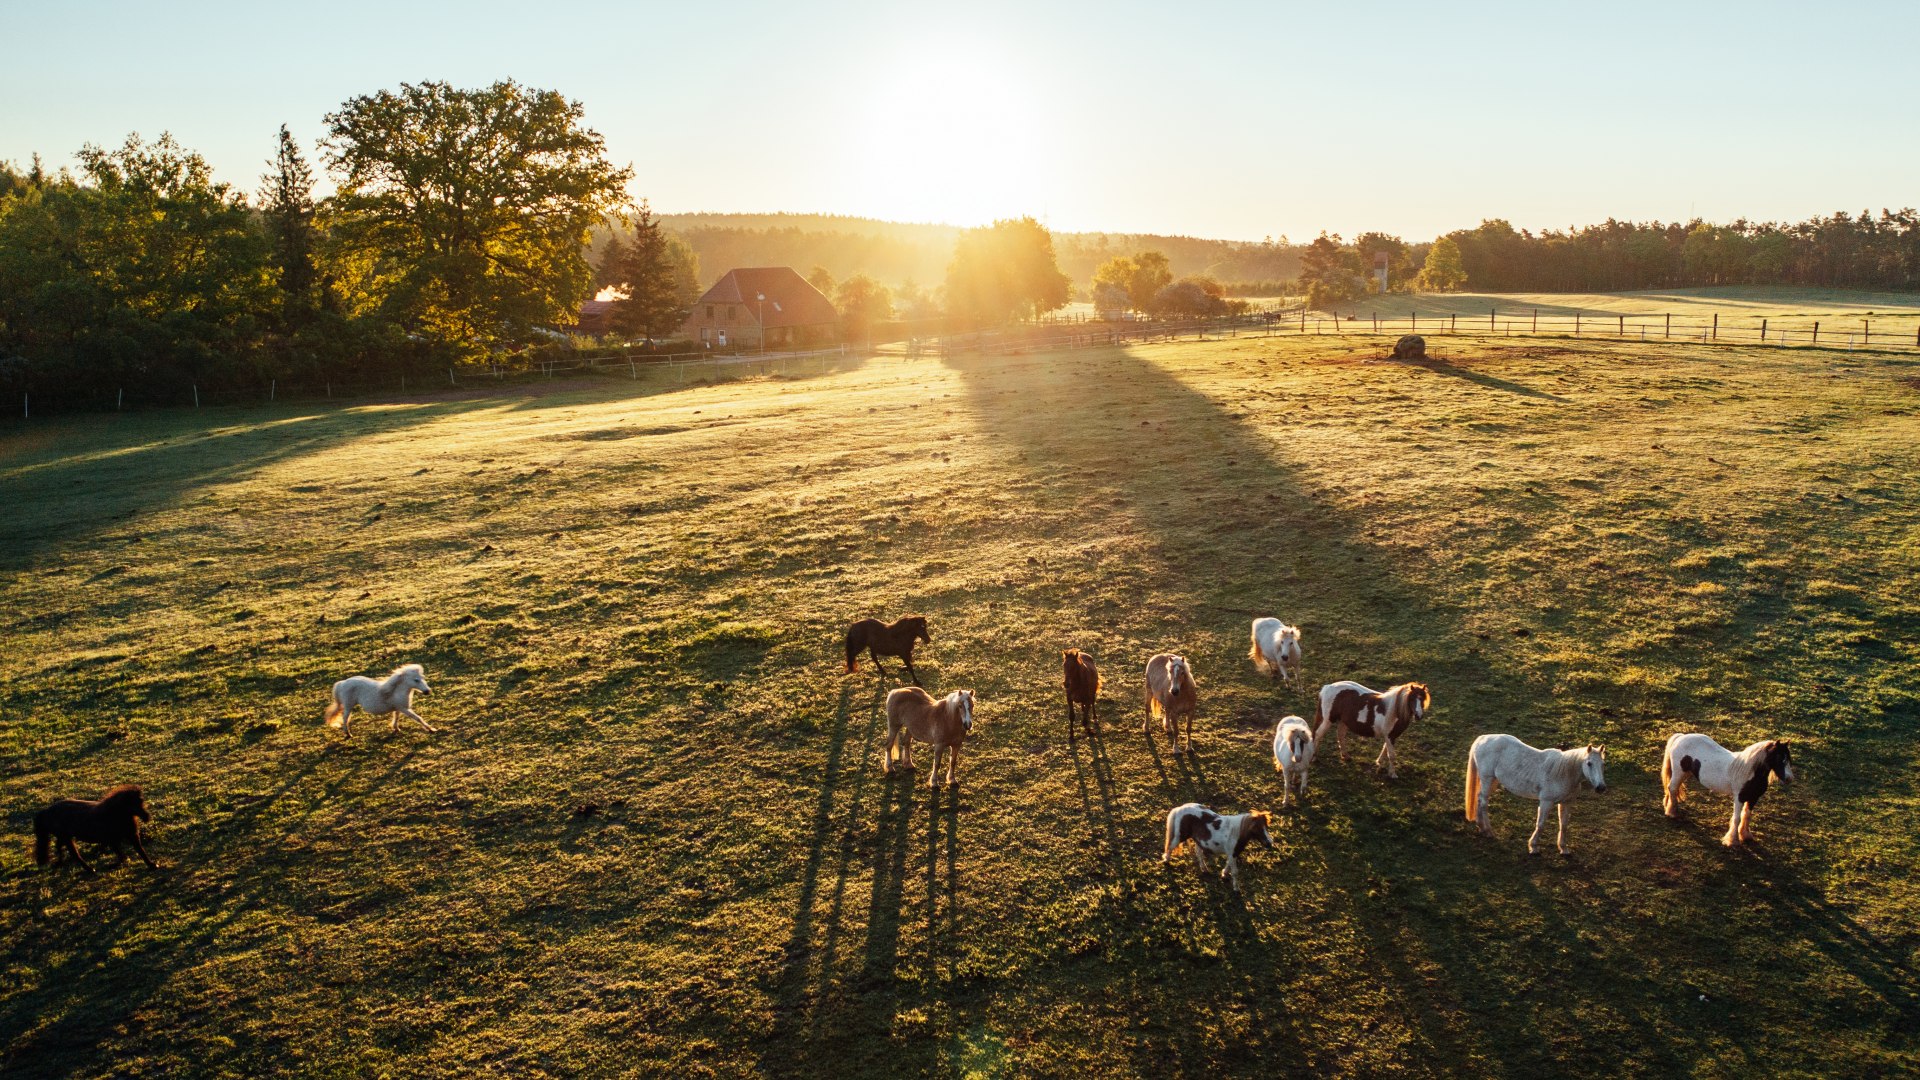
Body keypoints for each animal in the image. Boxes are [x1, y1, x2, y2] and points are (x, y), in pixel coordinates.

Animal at [1466, 734, 1605, 853]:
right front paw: (1533, 846)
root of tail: (1482, 739)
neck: (1563, 773)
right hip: (1487, 779)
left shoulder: (1566, 803)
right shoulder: (1546, 802)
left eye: (1603, 764)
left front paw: (1563, 848)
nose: (1601, 788)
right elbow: (1541, 824)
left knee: (1479, 798)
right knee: (1483, 802)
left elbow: (1564, 824)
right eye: (1589, 763)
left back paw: (1481, 827)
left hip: (1492, 781)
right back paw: (1488, 831)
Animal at [1666, 730, 1797, 849]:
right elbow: (1737, 819)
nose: (1789, 778)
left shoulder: (1753, 798)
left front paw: (1746, 835)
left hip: (1686, 773)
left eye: (1788, 758)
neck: (1750, 772)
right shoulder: (1739, 798)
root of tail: (1681, 737)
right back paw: (1672, 812)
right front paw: (1732, 841)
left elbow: (1747, 815)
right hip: (1679, 773)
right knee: (1672, 788)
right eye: (1780, 758)